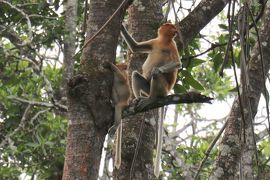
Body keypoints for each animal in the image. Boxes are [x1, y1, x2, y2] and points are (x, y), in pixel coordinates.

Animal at [121, 23, 181, 176]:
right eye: (171, 27)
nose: (175, 31)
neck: (164, 41)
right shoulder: (155, 41)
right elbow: (135, 47)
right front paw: (121, 24)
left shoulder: (173, 45)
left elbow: (177, 63)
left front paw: (158, 70)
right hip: (147, 87)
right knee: (136, 75)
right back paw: (138, 100)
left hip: (163, 88)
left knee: (155, 75)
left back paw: (152, 98)